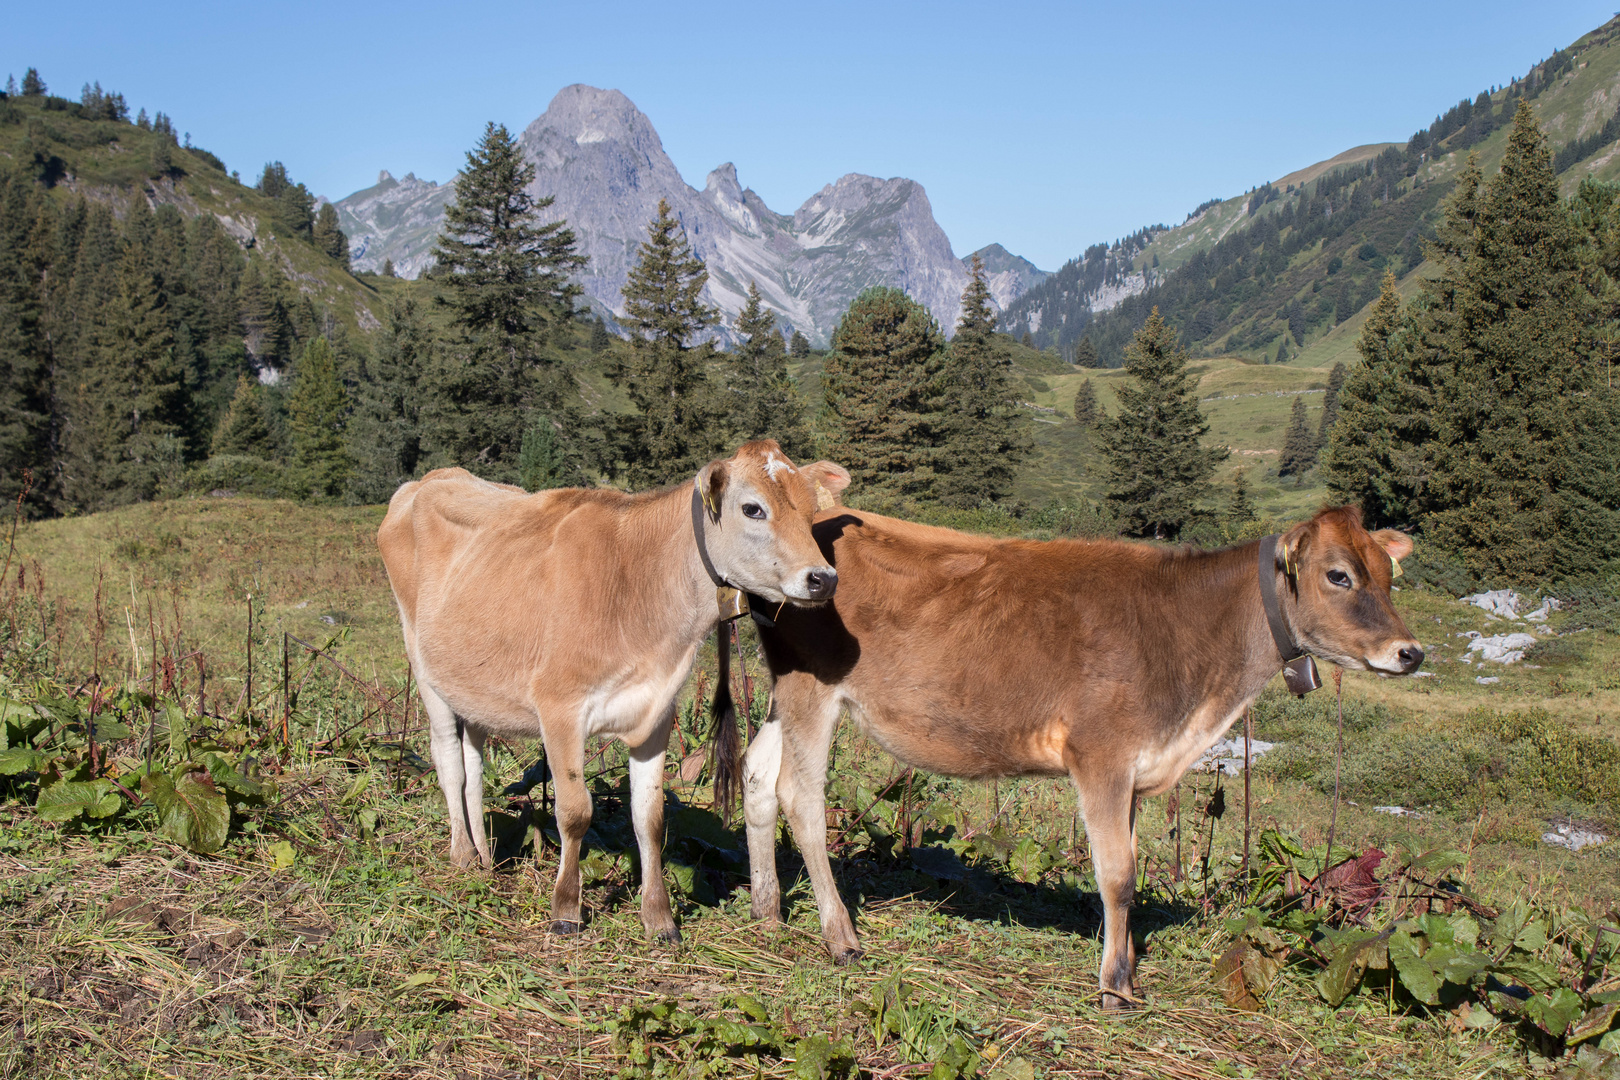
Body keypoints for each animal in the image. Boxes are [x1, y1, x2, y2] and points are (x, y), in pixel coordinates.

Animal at [380, 443, 855, 939]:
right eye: (752, 508)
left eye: (811, 510)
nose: (824, 578)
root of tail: (432, 478)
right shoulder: (560, 707)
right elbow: (574, 812)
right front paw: (566, 909)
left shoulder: (657, 711)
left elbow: (650, 819)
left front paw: (658, 917)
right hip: (424, 667)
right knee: (449, 761)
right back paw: (462, 854)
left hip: (474, 686)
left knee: (472, 761)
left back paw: (486, 858)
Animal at [729, 508, 1425, 1003]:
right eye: (1338, 574)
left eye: (1390, 576)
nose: (1411, 652)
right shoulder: (1102, 755)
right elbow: (1116, 874)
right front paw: (1114, 984)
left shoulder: (1138, 769)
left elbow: (1130, 871)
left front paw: (1129, 965)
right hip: (814, 690)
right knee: (800, 796)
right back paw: (839, 936)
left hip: (784, 692)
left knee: (758, 774)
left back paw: (768, 910)